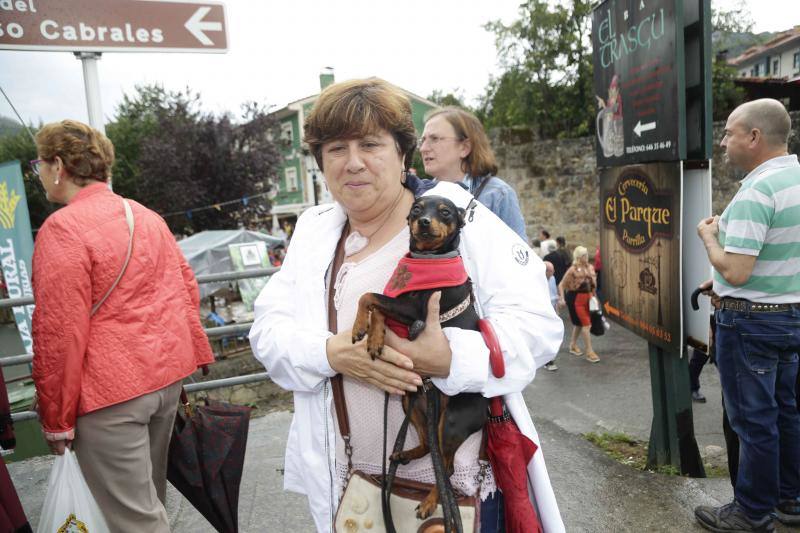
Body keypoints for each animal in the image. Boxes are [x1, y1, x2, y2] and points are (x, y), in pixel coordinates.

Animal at [354, 196, 490, 528]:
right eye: (417, 209)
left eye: (446, 212)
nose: (424, 222)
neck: (427, 258)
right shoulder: (399, 308)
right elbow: (378, 307)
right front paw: (372, 336)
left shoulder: (414, 310)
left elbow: (368, 296)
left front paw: (360, 327)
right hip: (411, 403)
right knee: (431, 448)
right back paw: (404, 455)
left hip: (451, 421)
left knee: (447, 467)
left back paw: (429, 503)